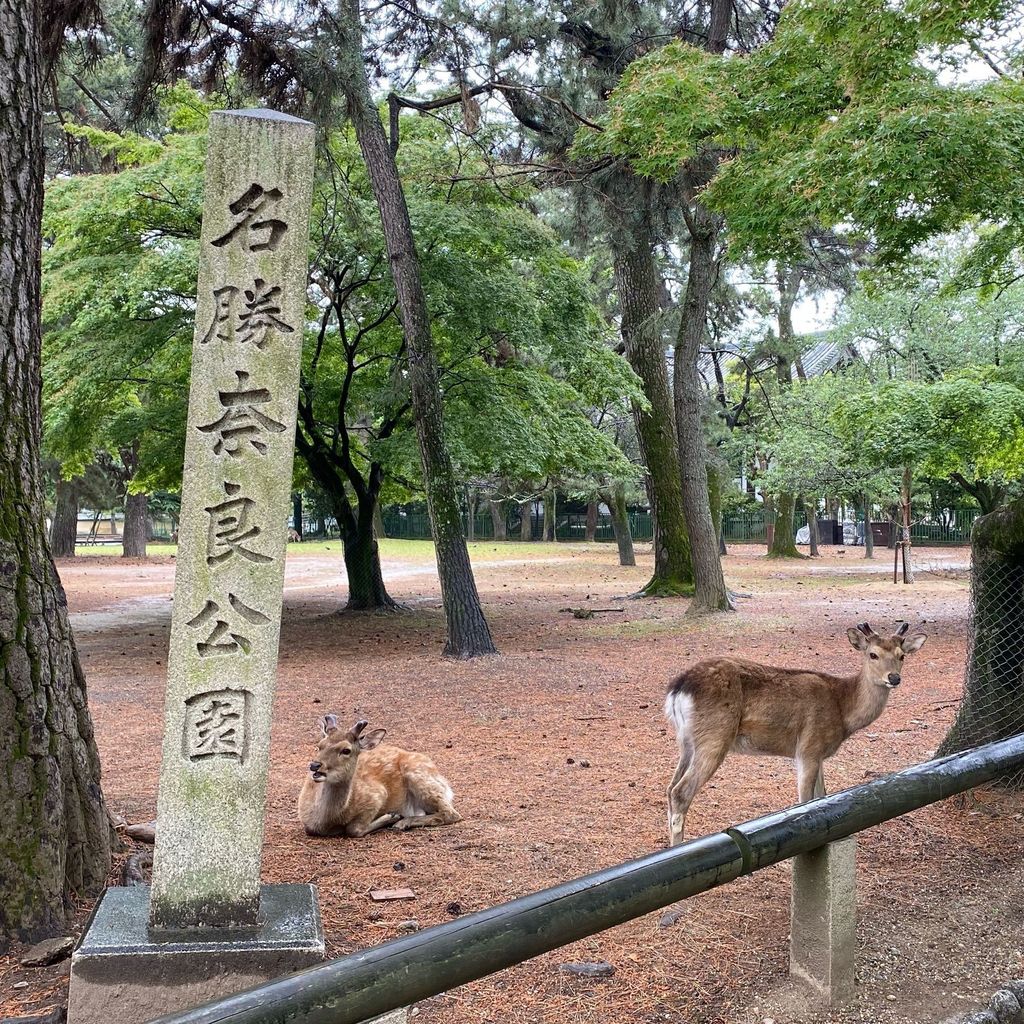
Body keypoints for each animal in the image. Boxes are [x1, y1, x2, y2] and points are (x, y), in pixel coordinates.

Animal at [294, 716, 458, 835]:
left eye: (346, 750)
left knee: (451, 813)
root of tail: (445, 783)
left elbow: (354, 829)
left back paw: (402, 823)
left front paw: (392, 816)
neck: (325, 821)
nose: (315, 765)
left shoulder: (377, 794)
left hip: (420, 776)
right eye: (319, 745)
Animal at [663, 622, 929, 847]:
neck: (842, 711)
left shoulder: (819, 754)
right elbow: (805, 801)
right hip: (716, 734)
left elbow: (823, 797)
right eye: (872, 654)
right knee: (681, 791)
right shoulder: (809, 747)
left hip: (686, 740)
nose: (894, 677)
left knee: (670, 787)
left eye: (902, 655)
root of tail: (679, 687)